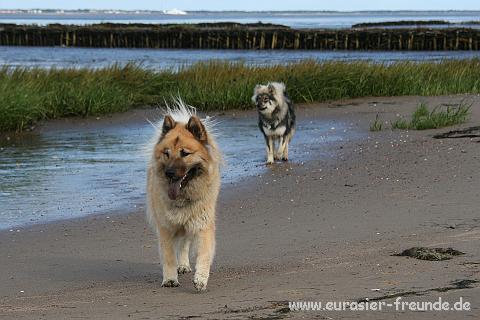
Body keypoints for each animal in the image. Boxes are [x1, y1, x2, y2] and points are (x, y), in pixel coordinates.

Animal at [146, 102, 221, 292]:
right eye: (166, 153)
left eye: (185, 153)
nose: (169, 173)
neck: (183, 196)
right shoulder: (165, 227)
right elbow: (168, 256)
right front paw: (170, 279)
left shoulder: (202, 225)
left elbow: (204, 254)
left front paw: (201, 279)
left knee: (185, 243)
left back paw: (184, 265)